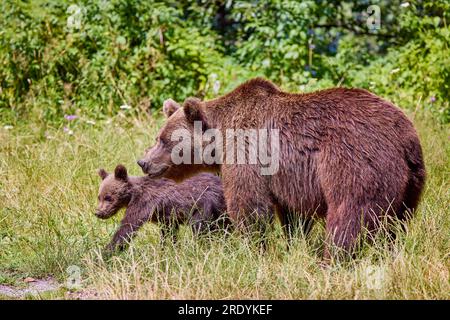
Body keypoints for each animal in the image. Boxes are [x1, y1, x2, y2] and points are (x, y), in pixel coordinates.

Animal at [138, 79, 426, 258]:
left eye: (164, 140)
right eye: (158, 136)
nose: (143, 161)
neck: (220, 140)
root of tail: (405, 137)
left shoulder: (248, 154)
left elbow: (248, 205)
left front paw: (253, 249)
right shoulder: (292, 181)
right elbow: (294, 216)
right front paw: (293, 245)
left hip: (355, 162)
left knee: (351, 214)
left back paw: (332, 259)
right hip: (410, 184)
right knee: (395, 223)